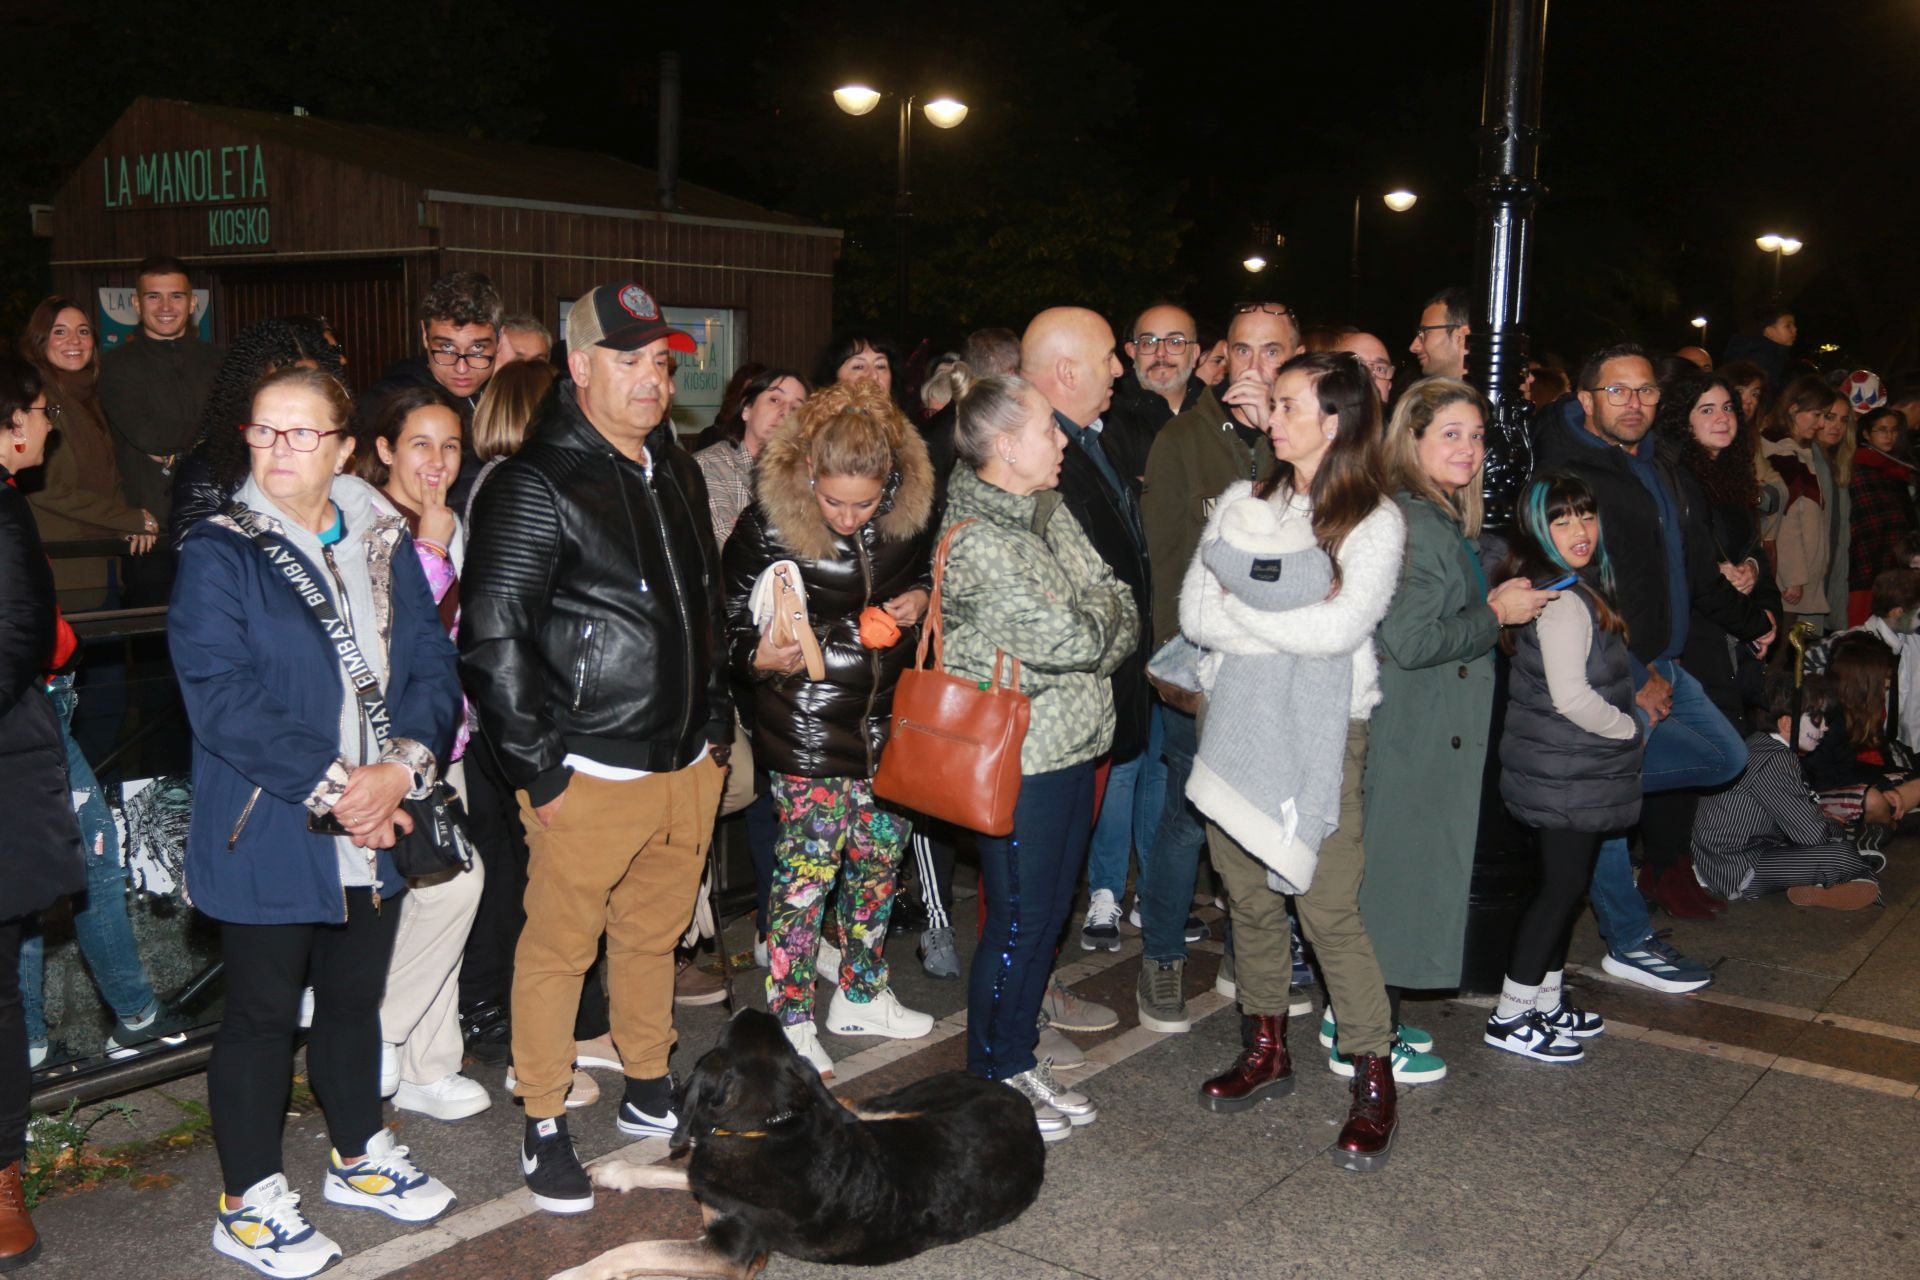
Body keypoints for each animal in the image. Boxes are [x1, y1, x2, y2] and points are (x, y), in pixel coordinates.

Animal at [541, 1013, 1052, 1280]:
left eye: (730, 1032)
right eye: (782, 1036)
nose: (751, 1008)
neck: (766, 1127)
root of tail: (1022, 1105)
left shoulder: (733, 1254)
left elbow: (634, 1247)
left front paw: (575, 1274)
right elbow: (676, 1174)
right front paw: (620, 1172)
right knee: (851, 1107)